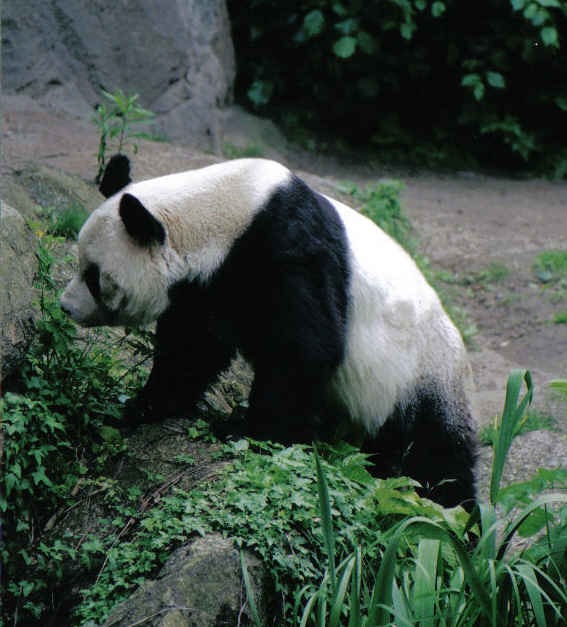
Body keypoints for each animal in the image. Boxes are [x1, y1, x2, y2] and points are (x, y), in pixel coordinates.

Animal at [62, 155, 478, 508]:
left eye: (94, 276)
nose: (66, 306)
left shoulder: (286, 249)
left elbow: (302, 350)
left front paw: (251, 433)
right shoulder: (207, 286)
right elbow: (192, 349)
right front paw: (144, 406)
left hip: (417, 376)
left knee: (434, 456)